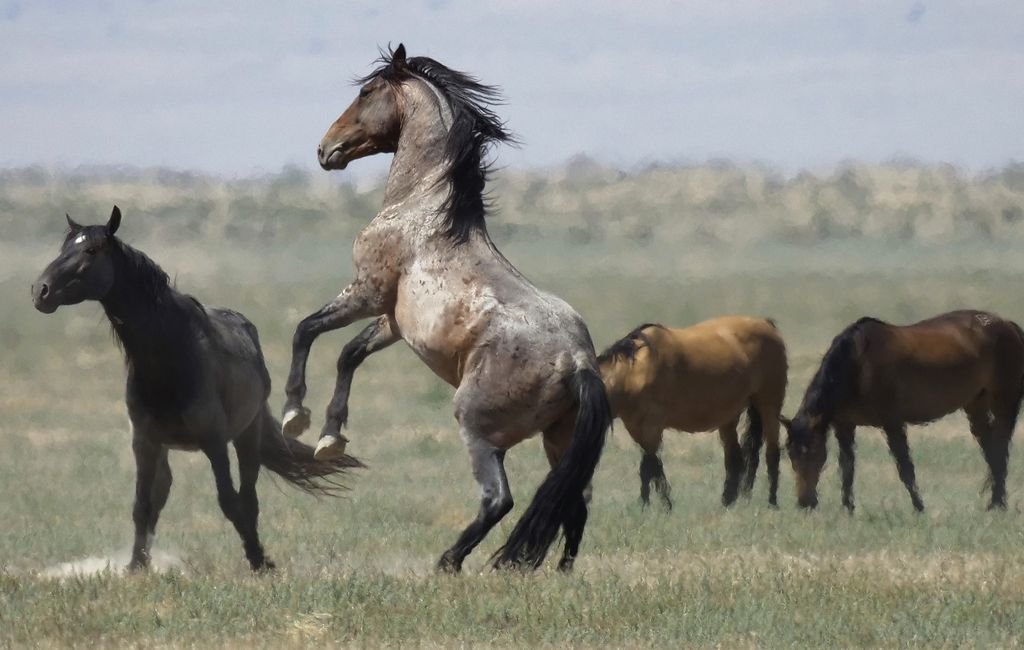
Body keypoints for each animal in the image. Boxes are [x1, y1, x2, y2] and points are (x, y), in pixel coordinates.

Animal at [32, 206, 362, 569]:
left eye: (91, 250)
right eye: (64, 247)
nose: (40, 290)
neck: (171, 357)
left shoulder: (214, 441)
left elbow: (230, 501)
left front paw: (259, 559)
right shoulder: (144, 442)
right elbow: (142, 505)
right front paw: (135, 567)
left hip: (247, 435)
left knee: (248, 496)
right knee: (161, 494)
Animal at [278, 45, 606, 573]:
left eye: (366, 92)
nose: (326, 150)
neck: (423, 209)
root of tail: (579, 362)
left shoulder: (366, 293)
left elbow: (306, 330)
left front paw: (295, 415)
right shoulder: (392, 322)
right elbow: (349, 354)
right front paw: (330, 437)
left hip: (477, 428)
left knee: (500, 500)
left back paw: (450, 561)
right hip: (558, 441)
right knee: (573, 500)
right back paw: (558, 572)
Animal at [598, 317, 786, 511]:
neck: (633, 373)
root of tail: (766, 323)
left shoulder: (652, 426)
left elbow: (649, 466)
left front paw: (657, 506)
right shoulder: (636, 428)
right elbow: (651, 466)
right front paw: (653, 504)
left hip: (769, 406)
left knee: (772, 454)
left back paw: (772, 502)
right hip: (729, 417)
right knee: (735, 458)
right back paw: (728, 502)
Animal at [782, 311, 1024, 513]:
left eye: (813, 452)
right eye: (791, 454)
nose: (804, 503)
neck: (858, 364)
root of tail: (1008, 325)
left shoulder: (892, 422)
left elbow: (905, 467)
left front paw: (919, 507)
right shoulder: (845, 425)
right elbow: (847, 468)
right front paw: (847, 509)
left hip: (1004, 402)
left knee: (1001, 448)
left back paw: (998, 504)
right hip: (976, 404)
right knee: (991, 449)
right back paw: (994, 502)